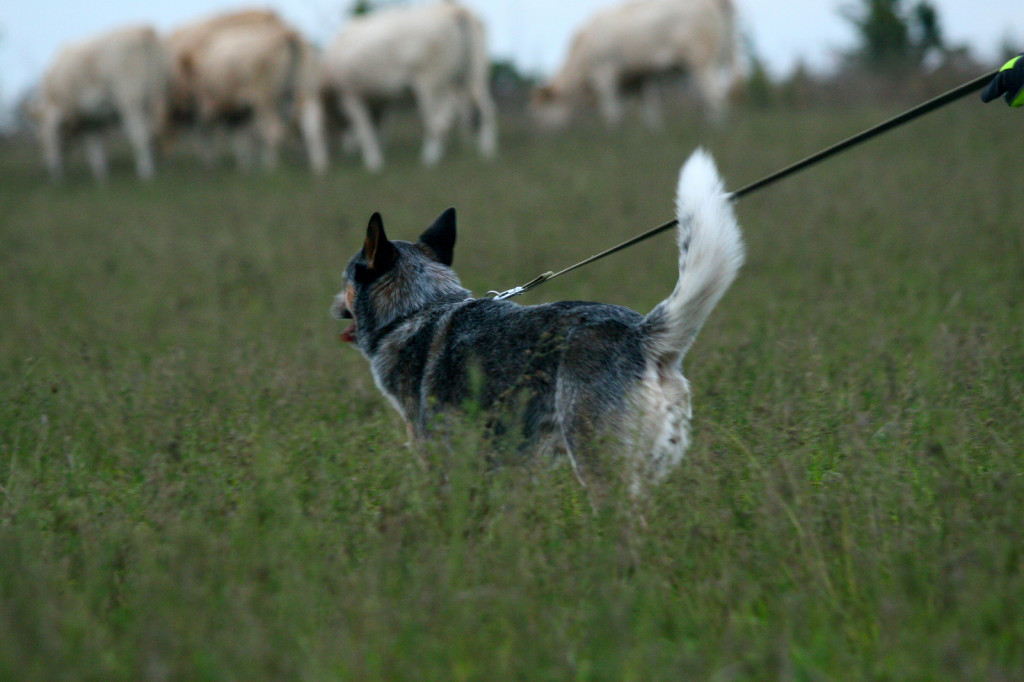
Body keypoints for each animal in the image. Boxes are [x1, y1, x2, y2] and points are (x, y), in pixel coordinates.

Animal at [35, 25, 168, 180]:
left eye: (45, 140)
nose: (53, 170)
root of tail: (143, 31)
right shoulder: (92, 119)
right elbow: (96, 145)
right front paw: (102, 174)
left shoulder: (82, 118)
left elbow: (92, 144)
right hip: (152, 98)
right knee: (151, 131)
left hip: (131, 100)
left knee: (139, 134)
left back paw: (146, 172)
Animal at [165, 10, 327, 174]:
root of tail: (287, 34)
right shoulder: (241, 110)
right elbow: (243, 137)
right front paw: (243, 163)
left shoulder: (207, 104)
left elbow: (208, 133)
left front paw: (210, 161)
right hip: (307, 91)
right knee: (312, 128)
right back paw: (319, 166)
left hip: (266, 101)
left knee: (273, 131)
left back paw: (270, 166)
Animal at [319, 1, 495, 171]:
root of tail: (454, 10)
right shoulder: (380, 100)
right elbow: (379, 128)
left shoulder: (350, 95)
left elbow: (365, 129)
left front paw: (373, 161)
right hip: (474, 75)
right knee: (483, 110)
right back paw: (486, 150)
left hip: (431, 83)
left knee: (437, 122)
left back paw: (430, 157)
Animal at [335, 147, 745, 489]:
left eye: (346, 279)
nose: (333, 303)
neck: (419, 309)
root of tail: (642, 336)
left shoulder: (433, 450)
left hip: (598, 465)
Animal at [532, 0, 741, 129]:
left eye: (541, 113)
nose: (541, 136)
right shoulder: (639, 79)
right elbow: (648, 113)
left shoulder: (605, 75)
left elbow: (611, 113)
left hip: (702, 62)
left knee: (714, 96)